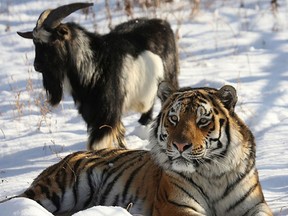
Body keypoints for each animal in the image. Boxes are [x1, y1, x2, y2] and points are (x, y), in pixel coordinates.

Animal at [4, 82, 272, 215]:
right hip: (59, 188)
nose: (180, 145)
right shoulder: (176, 206)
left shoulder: (255, 205)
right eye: (174, 119)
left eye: (202, 120)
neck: (213, 173)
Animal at [16, 2, 179, 149]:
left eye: (52, 42)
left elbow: (97, 144)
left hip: (169, 78)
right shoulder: (92, 113)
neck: (94, 65)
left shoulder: (107, 113)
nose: (36, 66)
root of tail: (162, 23)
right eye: (35, 43)